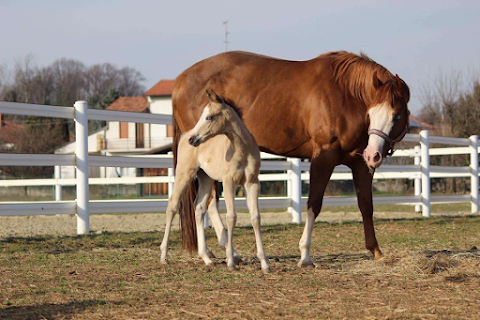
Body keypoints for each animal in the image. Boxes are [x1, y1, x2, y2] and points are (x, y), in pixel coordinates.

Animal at [161, 89, 270, 272]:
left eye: (209, 117)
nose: (193, 139)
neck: (242, 149)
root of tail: (183, 135)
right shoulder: (228, 182)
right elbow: (231, 217)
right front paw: (231, 262)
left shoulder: (252, 183)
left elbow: (256, 217)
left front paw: (264, 263)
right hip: (185, 173)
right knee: (172, 206)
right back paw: (163, 256)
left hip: (206, 179)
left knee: (198, 207)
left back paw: (206, 259)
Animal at [172, 50, 408, 268]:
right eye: (372, 114)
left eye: (396, 115)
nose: (374, 155)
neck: (345, 93)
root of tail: (180, 81)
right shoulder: (324, 158)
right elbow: (314, 204)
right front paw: (305, 255)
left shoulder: (360, 163)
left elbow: (366, 205)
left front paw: (376, 250)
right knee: (208, 203)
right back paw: (224, 252)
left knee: (206, 203)